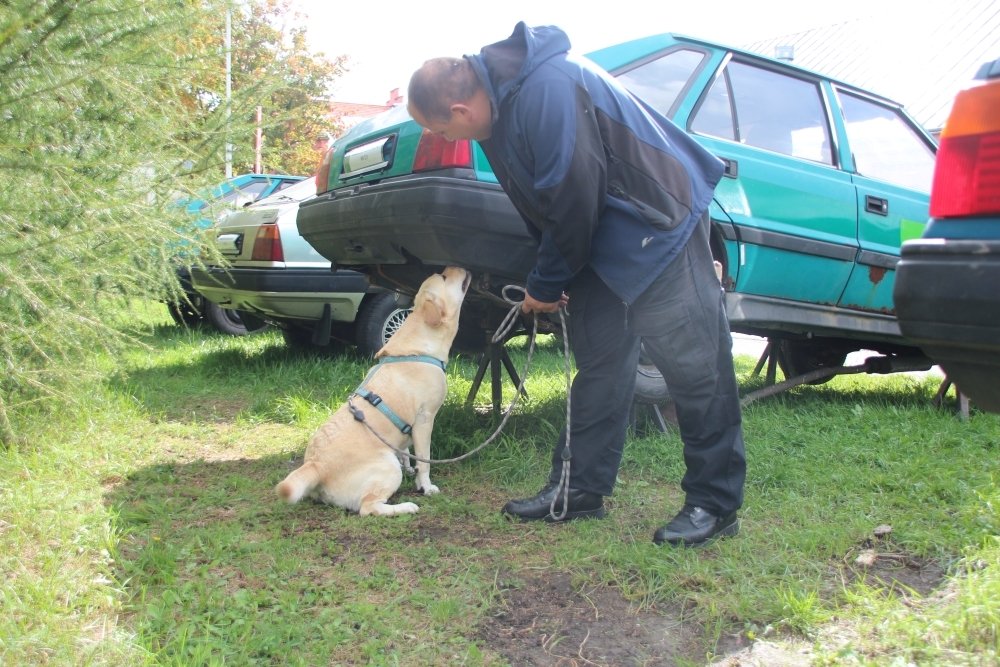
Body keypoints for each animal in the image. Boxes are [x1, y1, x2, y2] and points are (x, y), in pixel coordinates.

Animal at [276, 268, 470, 520]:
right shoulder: (424, 419)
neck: (420, 346)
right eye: (445, 278)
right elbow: (424, 460)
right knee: (368, 508)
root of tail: (315, 465)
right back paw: (406, 507)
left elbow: (406, 452)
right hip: (388, 468)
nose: (455, 267)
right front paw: (425, 486)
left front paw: (410, 467)